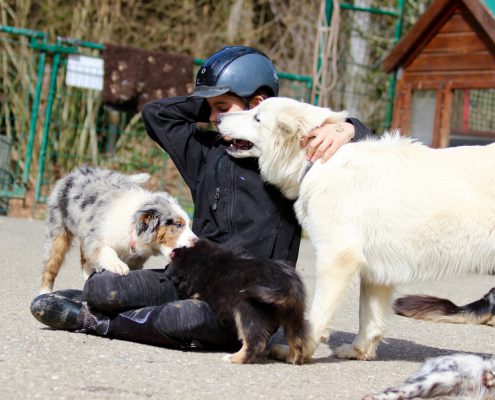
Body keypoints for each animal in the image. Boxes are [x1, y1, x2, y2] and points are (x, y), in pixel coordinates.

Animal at [165, 239, 310, 364]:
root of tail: (286, 281)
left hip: (247, 309)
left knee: (255, 341)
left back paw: (234, 358)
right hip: (293, 314)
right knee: (297, 340)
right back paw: (292, 358)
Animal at [219, 97, 495, 362]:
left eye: (257, 117)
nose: (219, 116)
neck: (316, 163)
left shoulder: (337, 257)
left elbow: (316, 316)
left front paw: (297, 351)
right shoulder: (377, 271)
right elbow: (369, 319)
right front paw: (357, 351)